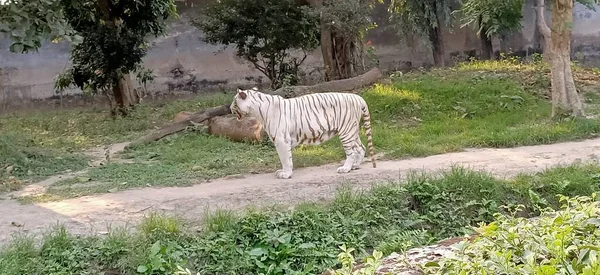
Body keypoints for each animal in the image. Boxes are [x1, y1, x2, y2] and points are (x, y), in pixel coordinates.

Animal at [231, 87, 376, 180]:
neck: (258, 111)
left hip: (346, 131)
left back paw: (345, 168)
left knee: (351, 152)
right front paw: (284, 172)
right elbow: (286, 158)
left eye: (234, 102)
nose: (230, 108)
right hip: (352, 130)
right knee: (361, 147)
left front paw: (285, 174)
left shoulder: (281, 140)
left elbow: (285, 159)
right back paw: (355, 166)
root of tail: (358, 97)